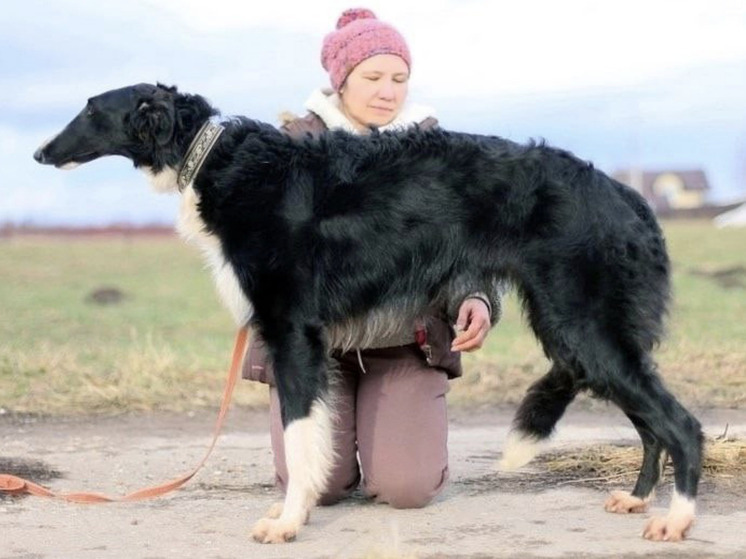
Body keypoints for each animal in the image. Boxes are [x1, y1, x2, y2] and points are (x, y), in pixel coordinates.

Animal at [32, 83, 700, 544]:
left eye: (90, 110)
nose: (39, 152)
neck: (218, 158)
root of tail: (628, 195)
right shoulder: (309, 340)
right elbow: (315, 438)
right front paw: (295, 510)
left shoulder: (293, 332)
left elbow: (300, 435)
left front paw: (287, 522)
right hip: (584, 337)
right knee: (651, 424)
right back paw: (639, 501)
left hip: (583, 328)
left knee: (681, 424)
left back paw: (678, 520)